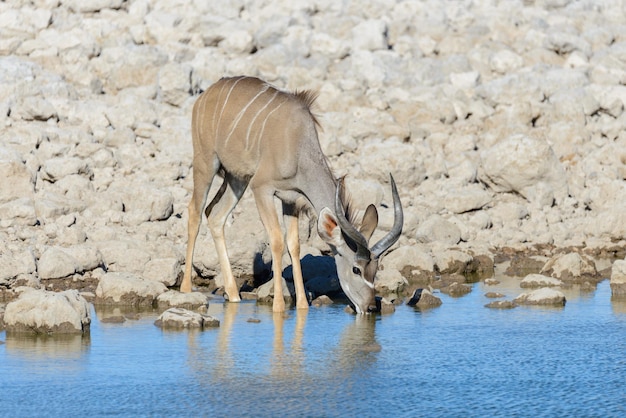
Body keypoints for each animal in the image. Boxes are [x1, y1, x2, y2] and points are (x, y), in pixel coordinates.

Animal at [180, 77, 402, 314]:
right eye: (356, 269)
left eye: (376, 269)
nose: (370, 307)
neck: (298, 146)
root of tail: (206, 94)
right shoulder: (262, 188)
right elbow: (277, 240)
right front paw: (278, 305)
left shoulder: (290, 200)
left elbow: (294, 245)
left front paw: (303, 305)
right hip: (206, 163)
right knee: (195, 211)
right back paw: (186, 288)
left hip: (236, 179)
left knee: (216, 216)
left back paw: (233, 294)